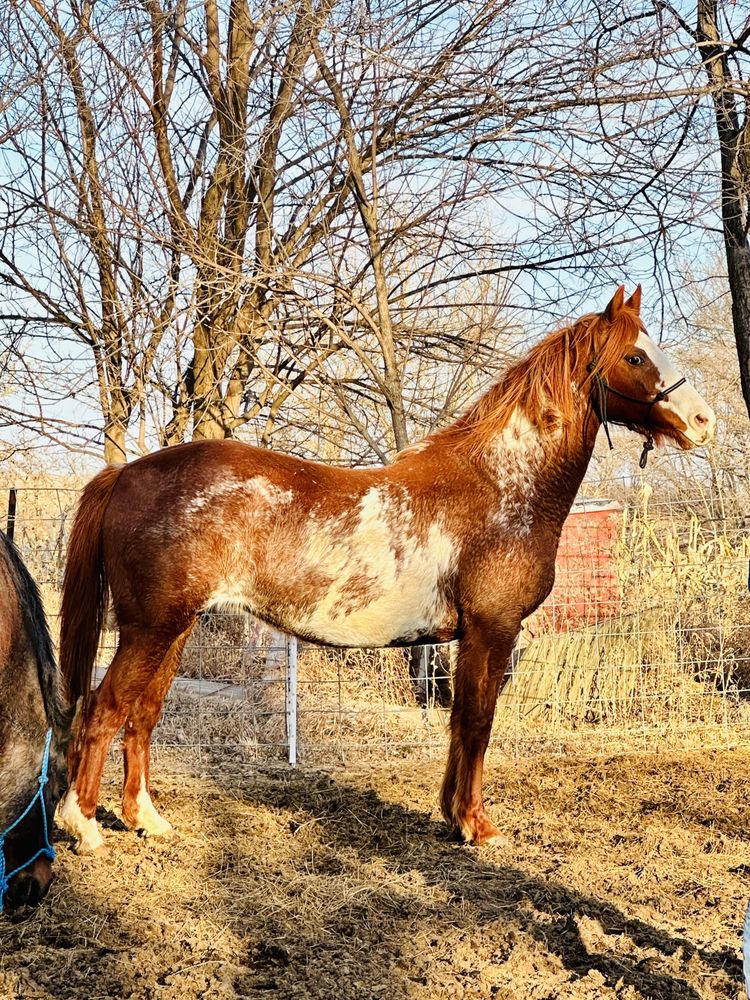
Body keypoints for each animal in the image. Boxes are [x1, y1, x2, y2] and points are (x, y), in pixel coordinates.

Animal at [56, 286, 715, 853]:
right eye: (635, 355)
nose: (704, 421)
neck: (502, 486)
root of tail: (127, 473)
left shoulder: (466, 640)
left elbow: (460, 723)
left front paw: (453, 817)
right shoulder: (492, 631)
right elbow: (478, 723)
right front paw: (477, 826)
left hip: (174, 629)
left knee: (142, 715)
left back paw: (146, 819)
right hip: (151, 628)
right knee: (103, 710)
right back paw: (81, 825)